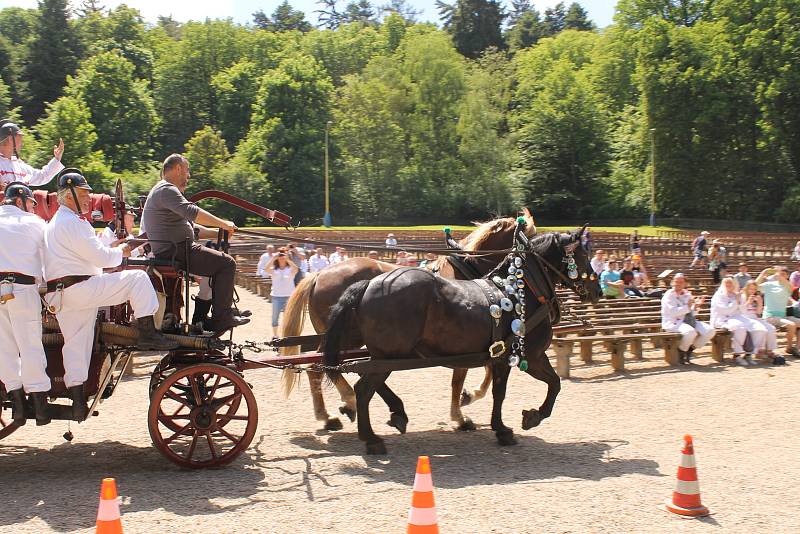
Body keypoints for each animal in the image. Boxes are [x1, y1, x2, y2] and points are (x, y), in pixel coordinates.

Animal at [278, 213, 536, 432]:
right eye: (531, 238)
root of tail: (318, 274)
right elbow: (463, 378)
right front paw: (461, 413)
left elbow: (485, 370)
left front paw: (469, 398)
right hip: (348, 337)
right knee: (321, 366)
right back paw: (340, 407)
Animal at [324, 226, 600, 456]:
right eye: (584, 254)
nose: (597, 291)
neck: (522, 290)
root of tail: (368, 284)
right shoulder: (530, 356)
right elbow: (552, 384)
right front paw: (530, 418)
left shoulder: (500, 357)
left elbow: (499, 391)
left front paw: (499, 426)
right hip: (389, 355)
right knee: (363, 389)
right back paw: (371, 438)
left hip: (382, 355)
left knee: (365, 382)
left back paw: (390, 416)